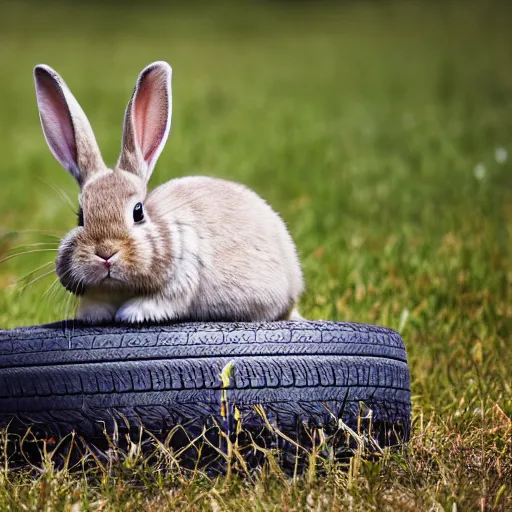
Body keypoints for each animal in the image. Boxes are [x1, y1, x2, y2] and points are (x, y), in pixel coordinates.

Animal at [34, 61, 304, 324]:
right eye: (81, 217)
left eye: (138, 212)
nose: (106, 253)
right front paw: (96, 315)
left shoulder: (182, 278)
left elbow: (163, 299)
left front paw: (130, 313)